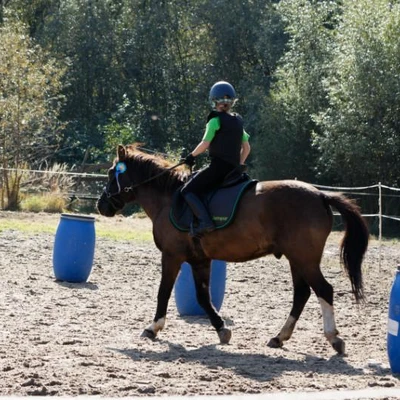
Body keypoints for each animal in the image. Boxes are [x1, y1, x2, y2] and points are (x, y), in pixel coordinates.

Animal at [97, 143, 368, 354]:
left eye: (111, 173)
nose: (101, 205)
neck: (168, 198)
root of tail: (321, 196)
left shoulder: (172, 256)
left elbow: (163, 292)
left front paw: (153, 328)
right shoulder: (200, 261)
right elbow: (203, 297)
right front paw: (221, 329)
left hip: (305, 259)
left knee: (323, 289)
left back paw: (333, 338)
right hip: (297, 260)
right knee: (301, 293)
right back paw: (279, 337)